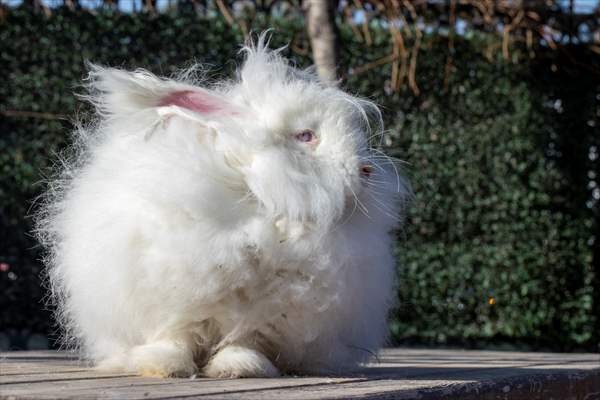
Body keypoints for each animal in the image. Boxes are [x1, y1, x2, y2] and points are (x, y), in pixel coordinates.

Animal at [37, 35, 410, 378]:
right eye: (306, 136)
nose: (365, 171)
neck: (259, 197)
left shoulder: (267, 312)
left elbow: (244, 340)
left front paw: (240, 367)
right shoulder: (174, 294)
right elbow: (175, 335)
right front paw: (163, 366)